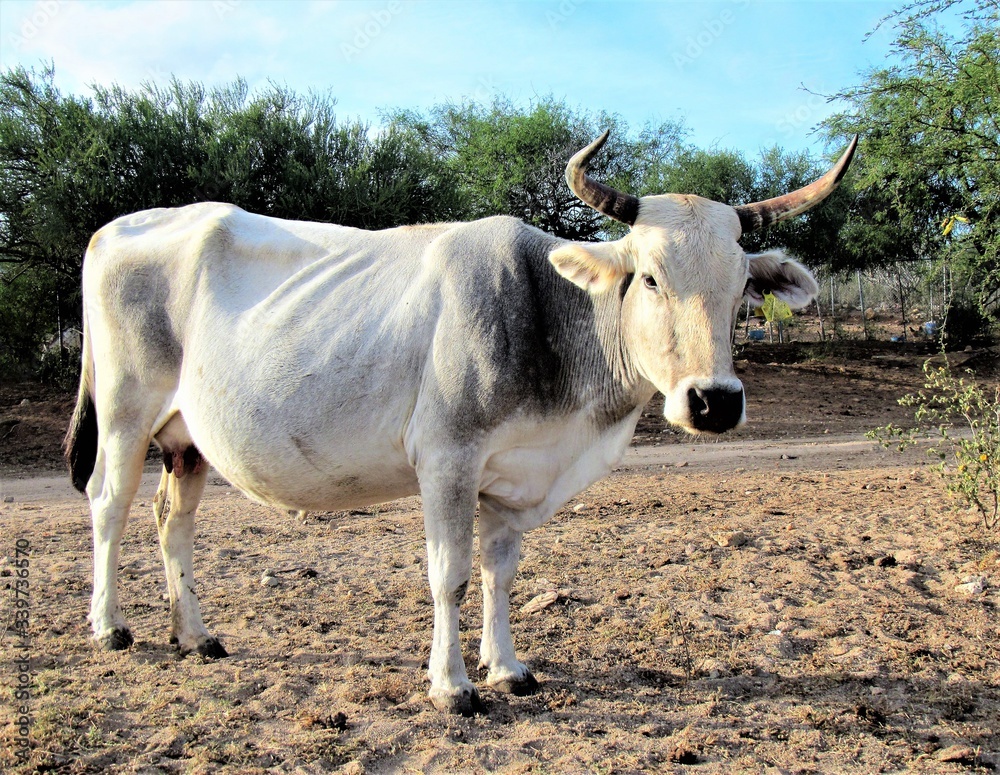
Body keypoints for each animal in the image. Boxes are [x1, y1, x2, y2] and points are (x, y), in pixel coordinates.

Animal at [66, 133, 856, 716]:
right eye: (652, 277)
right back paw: (108, 626)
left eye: (742, 287)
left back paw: (194, 634)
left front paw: (506, 667)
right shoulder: (447, 458)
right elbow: (447, 575)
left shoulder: (513, 478)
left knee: (172, 520)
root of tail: (116, 227)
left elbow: (498, 572)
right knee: (109, 506)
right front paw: (452, 685)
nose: (714, 400)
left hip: (186, 440)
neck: (550, 313)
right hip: (126, 414)